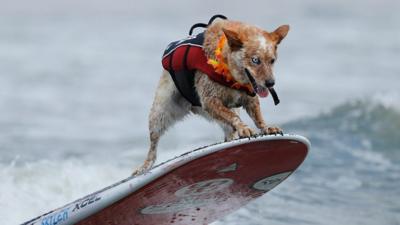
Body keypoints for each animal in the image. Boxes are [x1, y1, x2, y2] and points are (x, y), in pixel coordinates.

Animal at [133, 15, 290, 175]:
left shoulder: (250, 98)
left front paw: (266, 128)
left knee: (228, 130)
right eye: (255, 60)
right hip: (161, 112)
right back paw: (144, 166)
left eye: (272, 60)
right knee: (153, 145)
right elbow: (233, 117)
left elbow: (257, 117)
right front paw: (243, 128)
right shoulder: (210, 101)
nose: (271, 83)